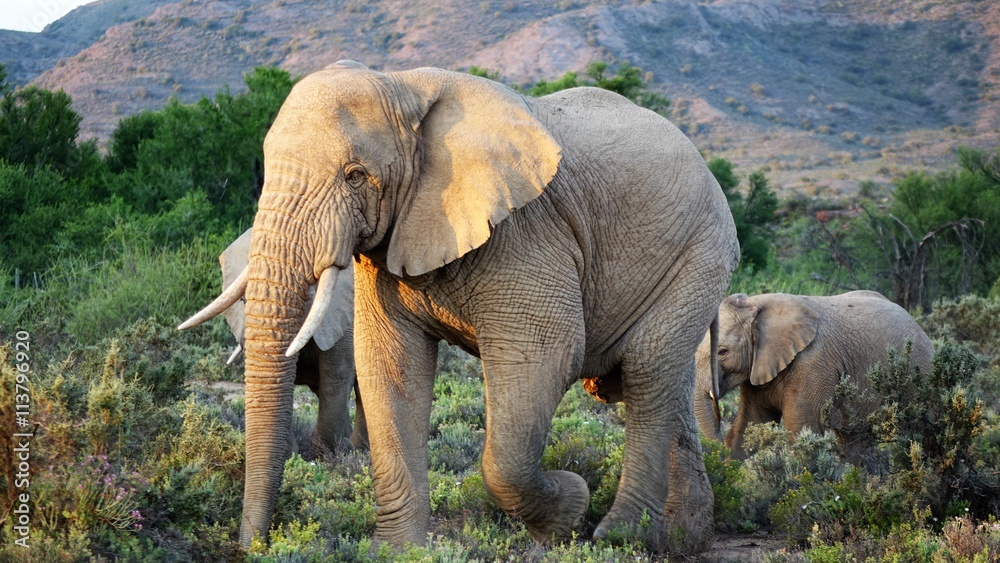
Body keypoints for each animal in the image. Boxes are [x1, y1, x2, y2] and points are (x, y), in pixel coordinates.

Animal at [217, 227, 367, 453]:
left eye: (305, 300)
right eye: (243, 301)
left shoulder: (342, 319)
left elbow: (336, 376)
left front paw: (327, 454)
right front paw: (291, 455)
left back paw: (358, 449)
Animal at [693, 290, 935, 460]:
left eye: (722, 352)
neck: (755, 303)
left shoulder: (813, 364)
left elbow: (800, 430)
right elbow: (751, 424)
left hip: (920, 371)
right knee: (854, 441)